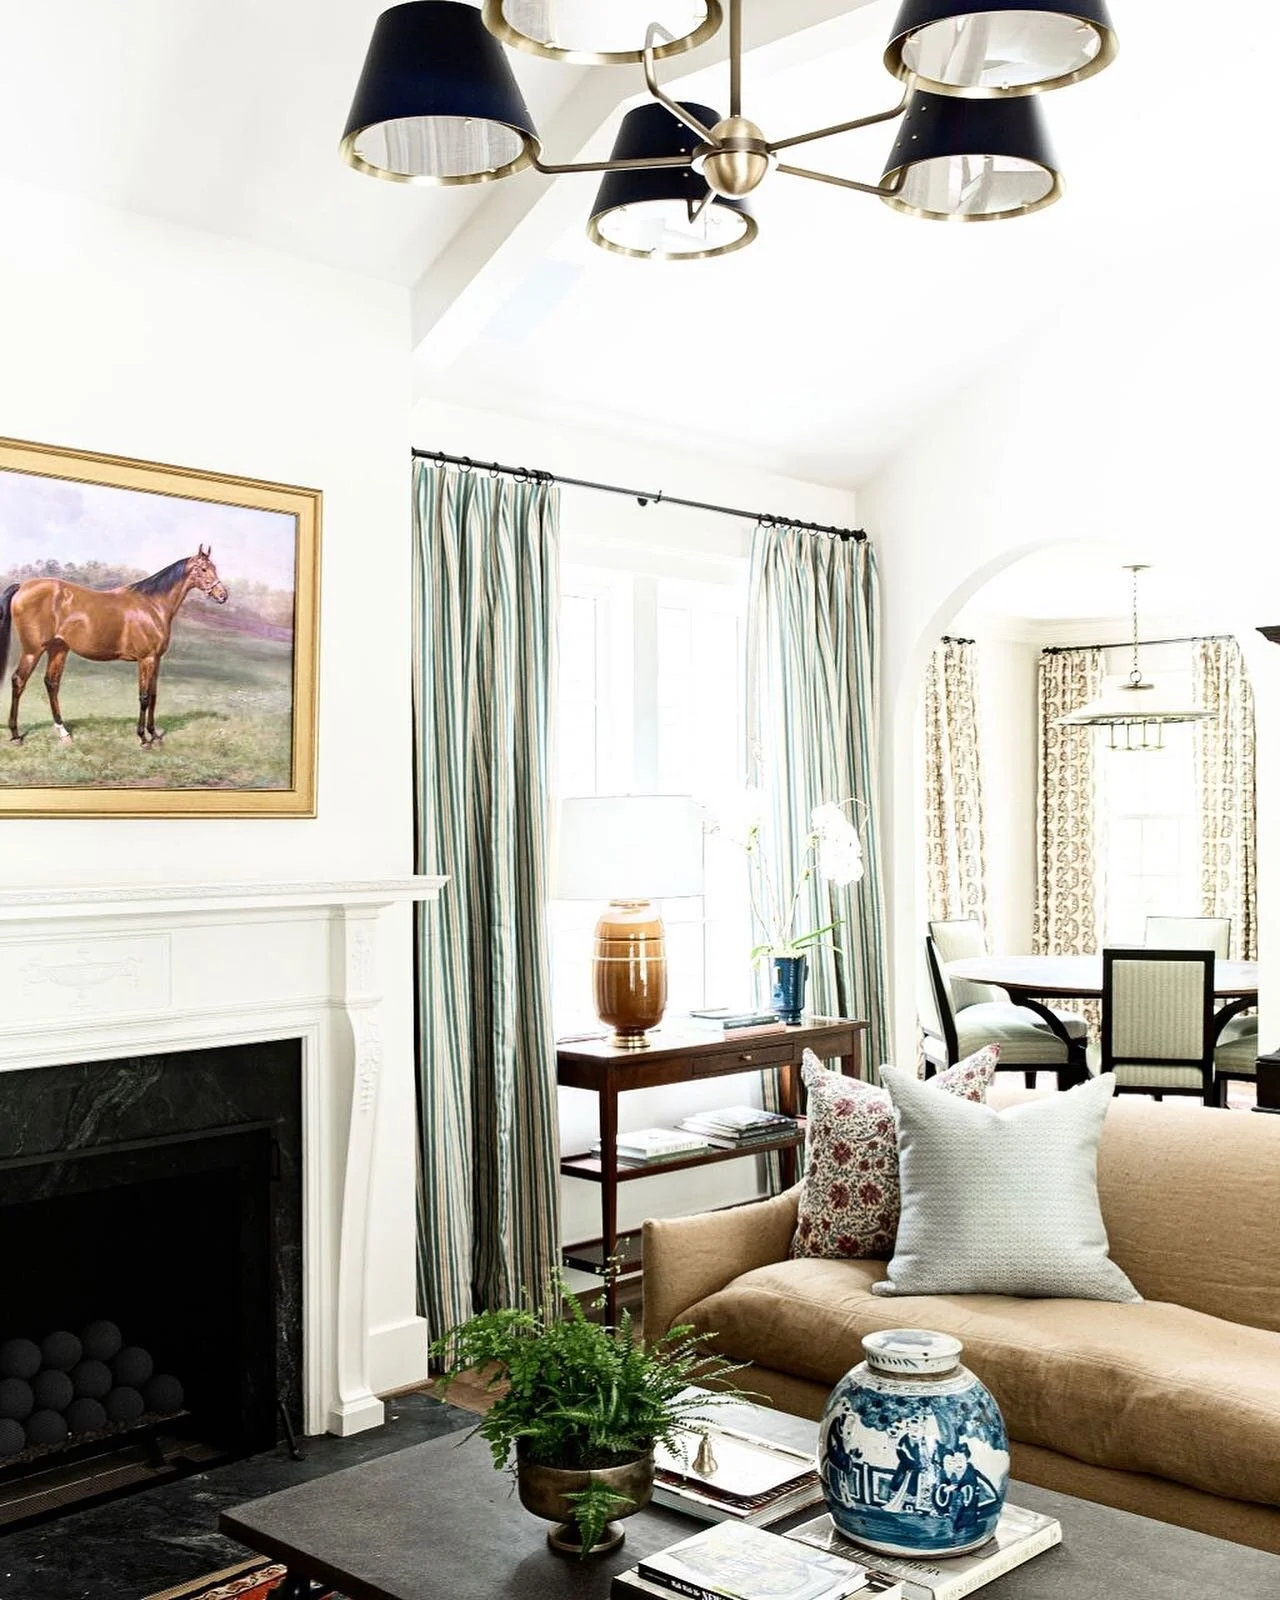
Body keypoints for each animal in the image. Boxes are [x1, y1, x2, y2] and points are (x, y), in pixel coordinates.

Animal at [0, 546, 228, 748]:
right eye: (204, 569)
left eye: (214, 567)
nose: (222, 595)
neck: (152, 605)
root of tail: (23, 586)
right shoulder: (145, 659)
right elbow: (144, 697)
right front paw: (143, 738)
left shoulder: (156, 659)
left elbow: (154, 695)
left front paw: (155, 735)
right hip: (33, 650)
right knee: (18, 681)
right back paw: (16, 735)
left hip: (58, 649)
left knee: (51, 683)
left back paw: (63, 732)